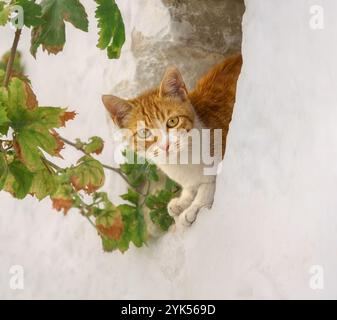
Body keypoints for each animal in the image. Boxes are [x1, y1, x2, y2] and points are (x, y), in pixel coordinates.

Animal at [101, 53, 240, 226]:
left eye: (173, 121)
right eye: (144, 133)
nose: (166, 145)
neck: (181, 163)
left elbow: (209, 185)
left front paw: (195, 206)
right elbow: (192, 188)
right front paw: (183, 200)